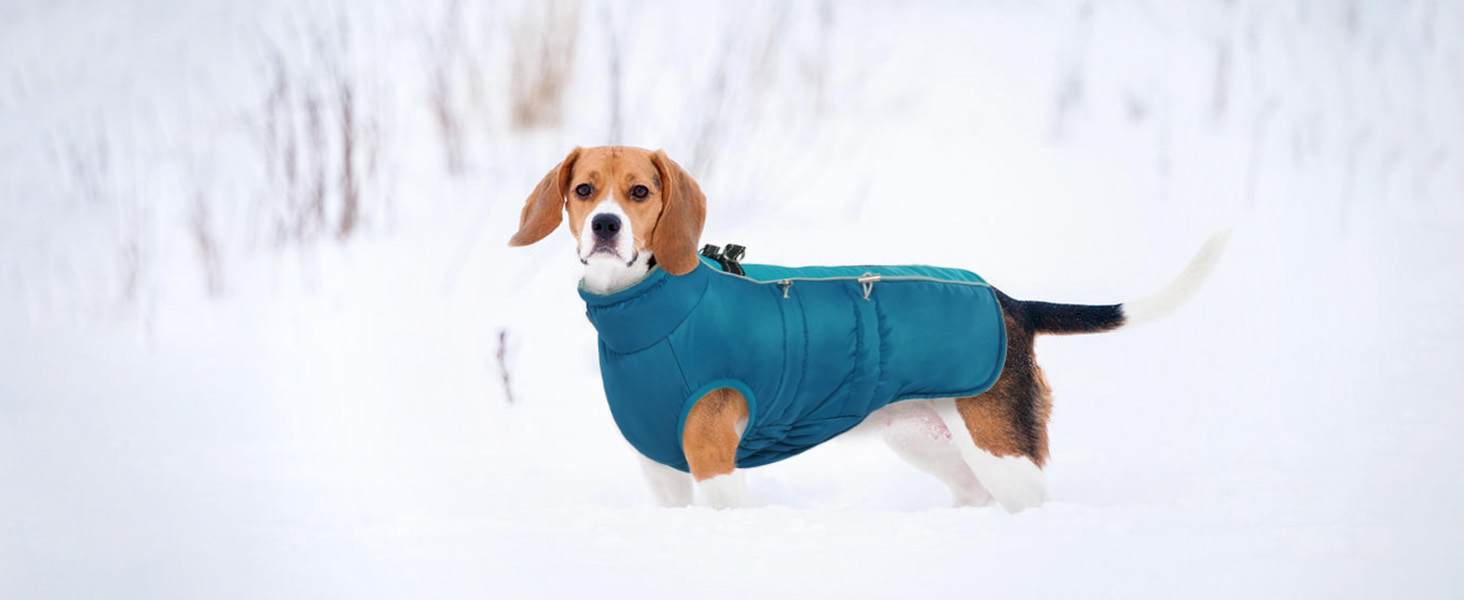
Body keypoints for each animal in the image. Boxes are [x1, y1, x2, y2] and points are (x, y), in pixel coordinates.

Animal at [509, 145, 1229, 512]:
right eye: (583, 189)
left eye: (639, 192)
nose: (605, 226)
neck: (651, 314)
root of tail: (1010, 303)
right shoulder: (662, 471)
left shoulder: (714, 466)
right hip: (930, 442)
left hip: (1003, 455)